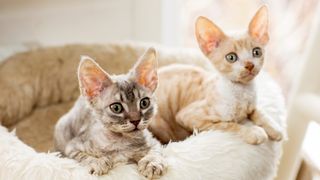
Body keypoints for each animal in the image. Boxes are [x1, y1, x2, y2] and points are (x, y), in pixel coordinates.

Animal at [53, 47, 166, 179]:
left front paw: (151, 163)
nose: (136, 120)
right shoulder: (72, 147)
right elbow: (83, 157)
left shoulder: (154, 141)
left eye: (144, 103)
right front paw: (98, 162)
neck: (122, 142)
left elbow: (156, 151)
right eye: (116, 108)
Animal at [149, 5, 282, 145]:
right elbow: (228, 124)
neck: (242, 92)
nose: (249, 65)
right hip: (161, 124)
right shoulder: (188, 116)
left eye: (256, 52)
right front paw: (253, 131)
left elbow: (258, 112)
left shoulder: (251, 106)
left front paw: (274, 128)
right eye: (231, 57)